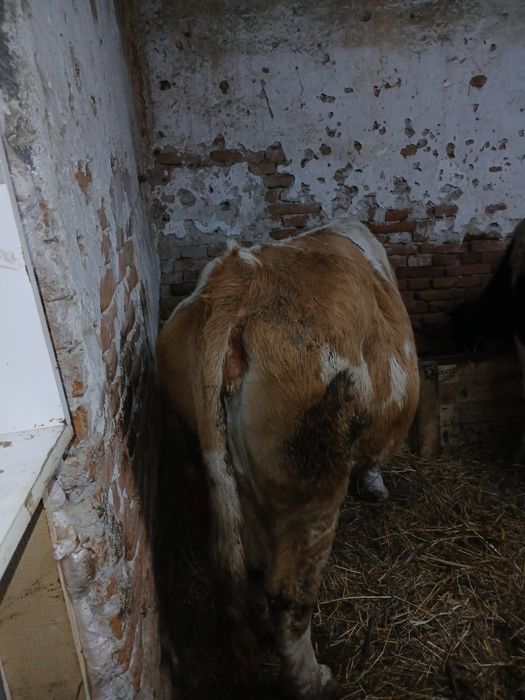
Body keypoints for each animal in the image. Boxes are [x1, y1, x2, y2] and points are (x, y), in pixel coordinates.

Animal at [157, 220, 420, 698]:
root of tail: (238, 278)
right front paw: (375, 486)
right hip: (313, 477)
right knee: (289, 593)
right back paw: (314, 681)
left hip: (208, 457)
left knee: (243, 565)